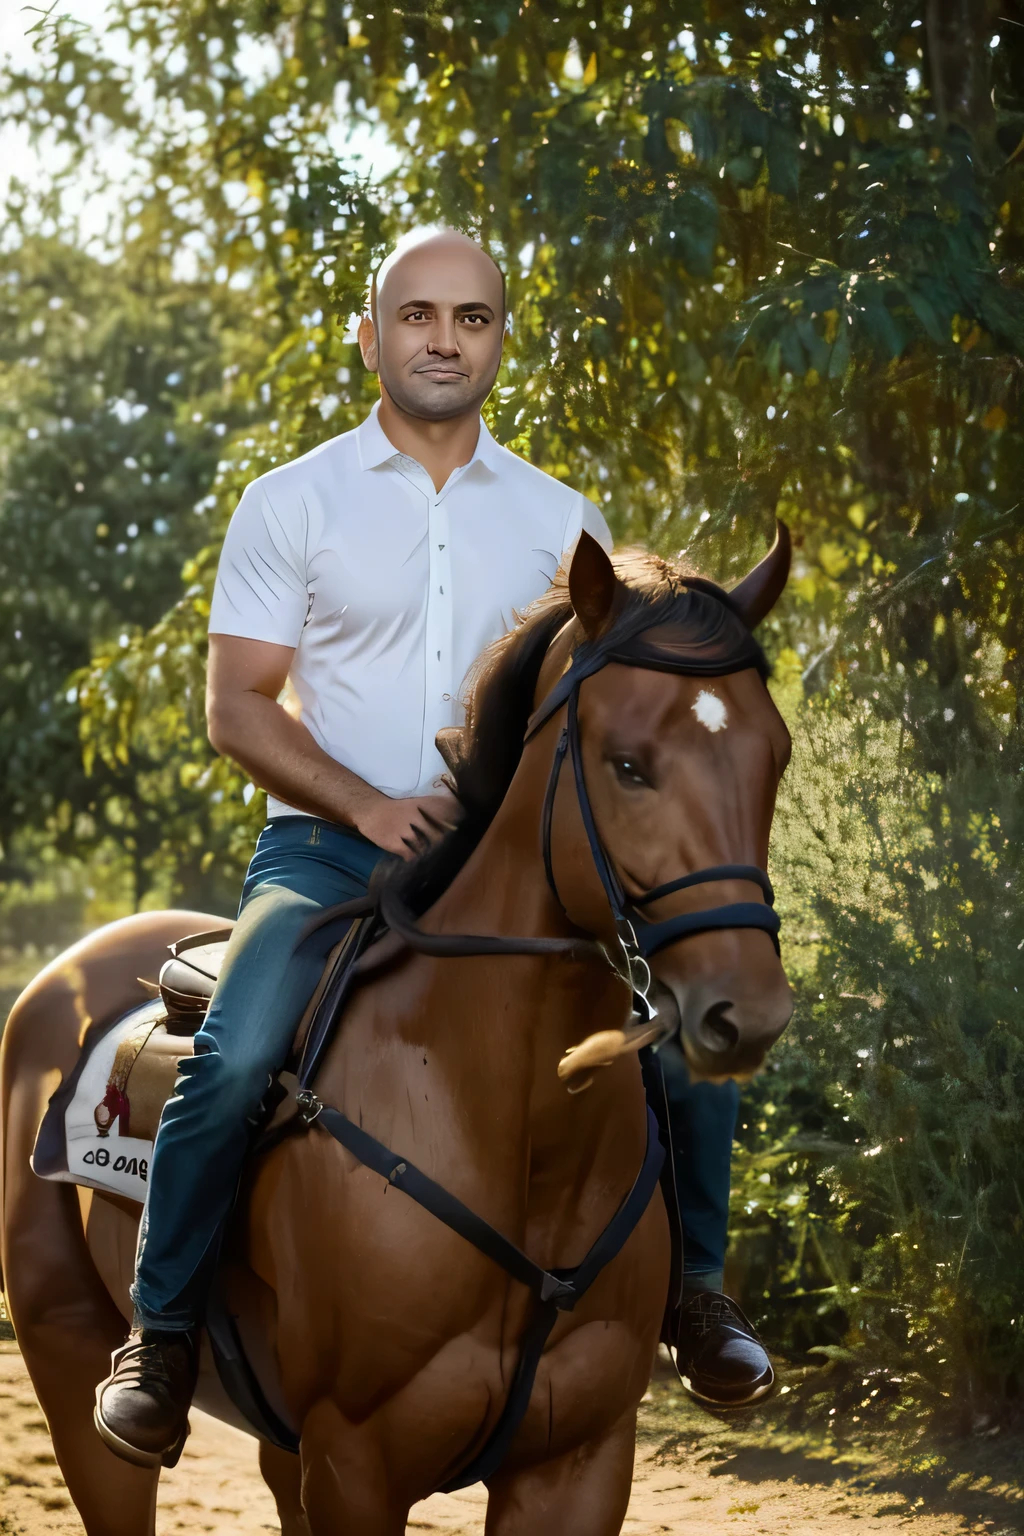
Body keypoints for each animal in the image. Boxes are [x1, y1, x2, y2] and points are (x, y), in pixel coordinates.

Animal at [0, 531, 792, 1536]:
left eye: (776, 756)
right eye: (627, 764)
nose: (747, 1013)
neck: (507, 1125)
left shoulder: (578, 1459)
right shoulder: (356, 1461)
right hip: (70, 1365)